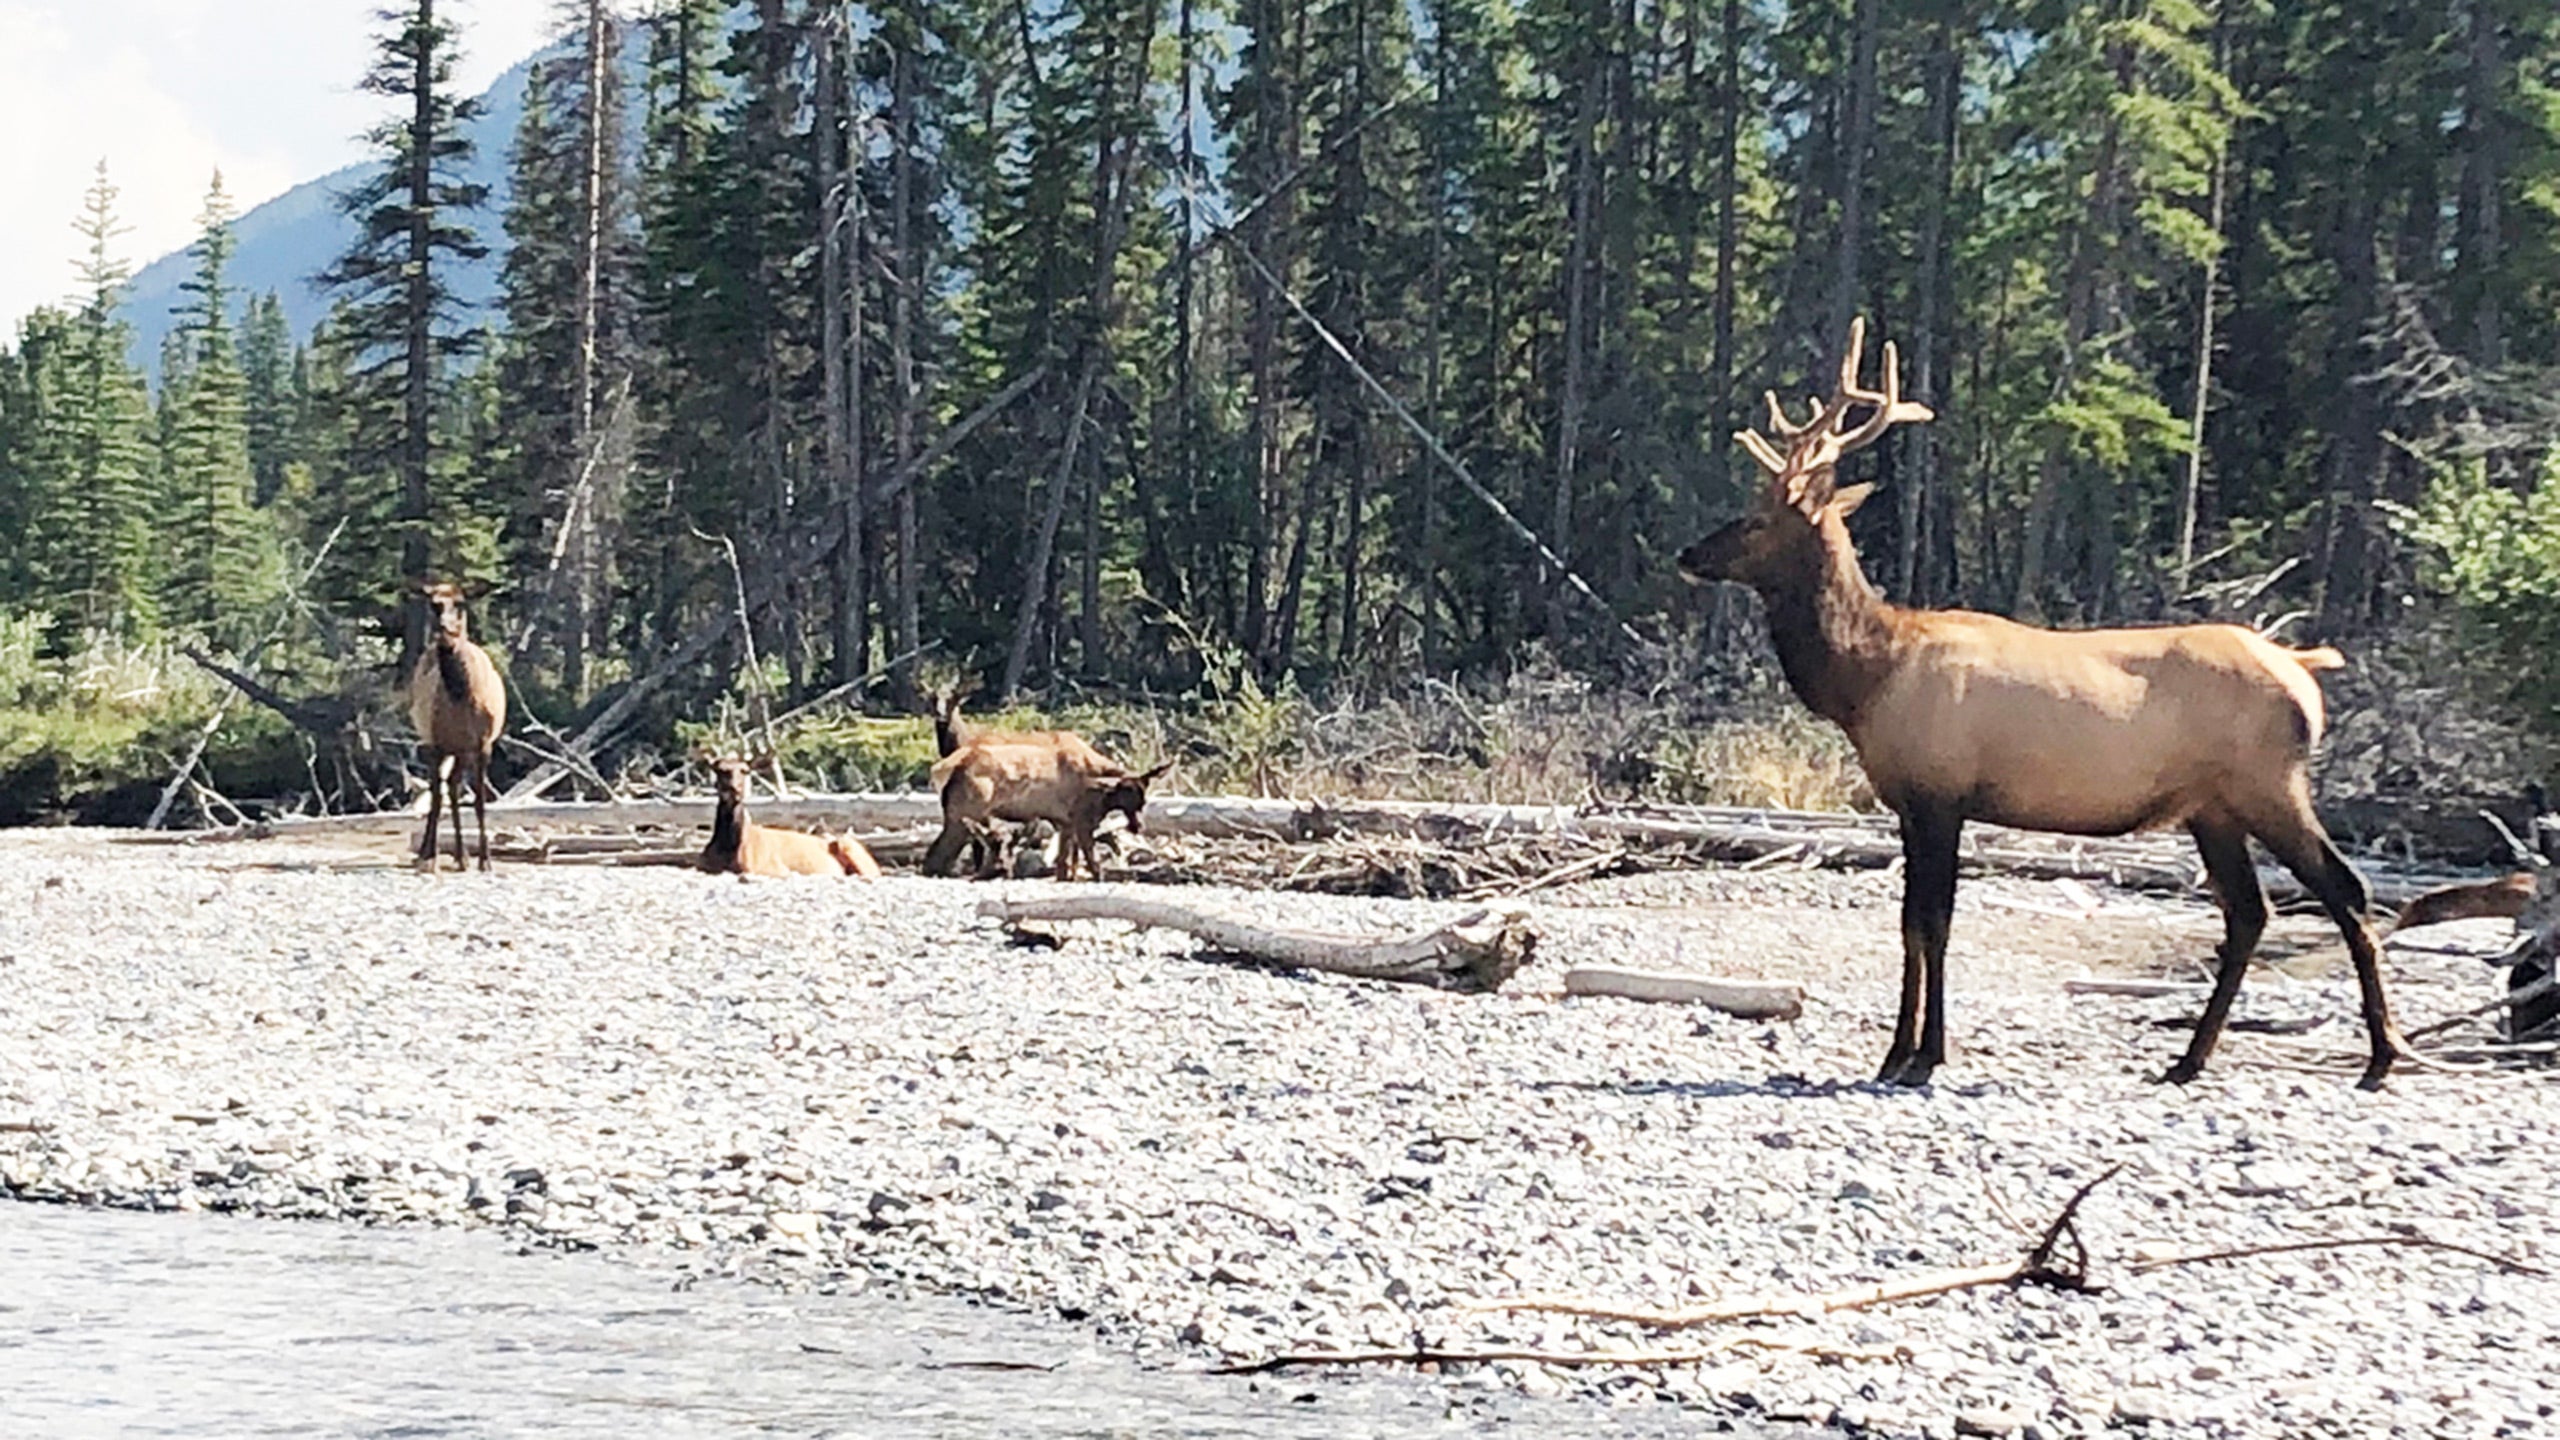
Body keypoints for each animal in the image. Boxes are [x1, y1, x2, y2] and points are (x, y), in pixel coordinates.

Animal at [407, 576, 506, 871]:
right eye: (434, 604)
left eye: (460, 603)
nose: (445, 628)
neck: (463, 696)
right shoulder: (437, 741)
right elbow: (436, 798)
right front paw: (430, 856)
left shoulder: (483, 744)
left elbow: (480, 801)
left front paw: (486, 860)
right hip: (437, 744)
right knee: (440, 791)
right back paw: (430, 853)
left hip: (461, 751)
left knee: (451, 787)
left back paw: (462, 855)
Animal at [696, 753, 885, 876]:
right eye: (720, 770)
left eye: (745, 771)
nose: (734, 790)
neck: (729, 847)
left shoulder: (770, 868)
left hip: (853, 850)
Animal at [1669, 316, 2406, 1086]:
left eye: (1757, 519)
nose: (1689, 553)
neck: (1866, 679)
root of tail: (2304, 672)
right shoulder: (1909, 803)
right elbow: (1910, 923)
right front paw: (1896, 1053)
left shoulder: (1942, 795)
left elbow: (1934, 922)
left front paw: (1923, 1055)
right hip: (2213, 806)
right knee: (2248, 912)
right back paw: (2188, 1060)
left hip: (2269, 784)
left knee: (2345, 889)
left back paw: (2380, 1056)